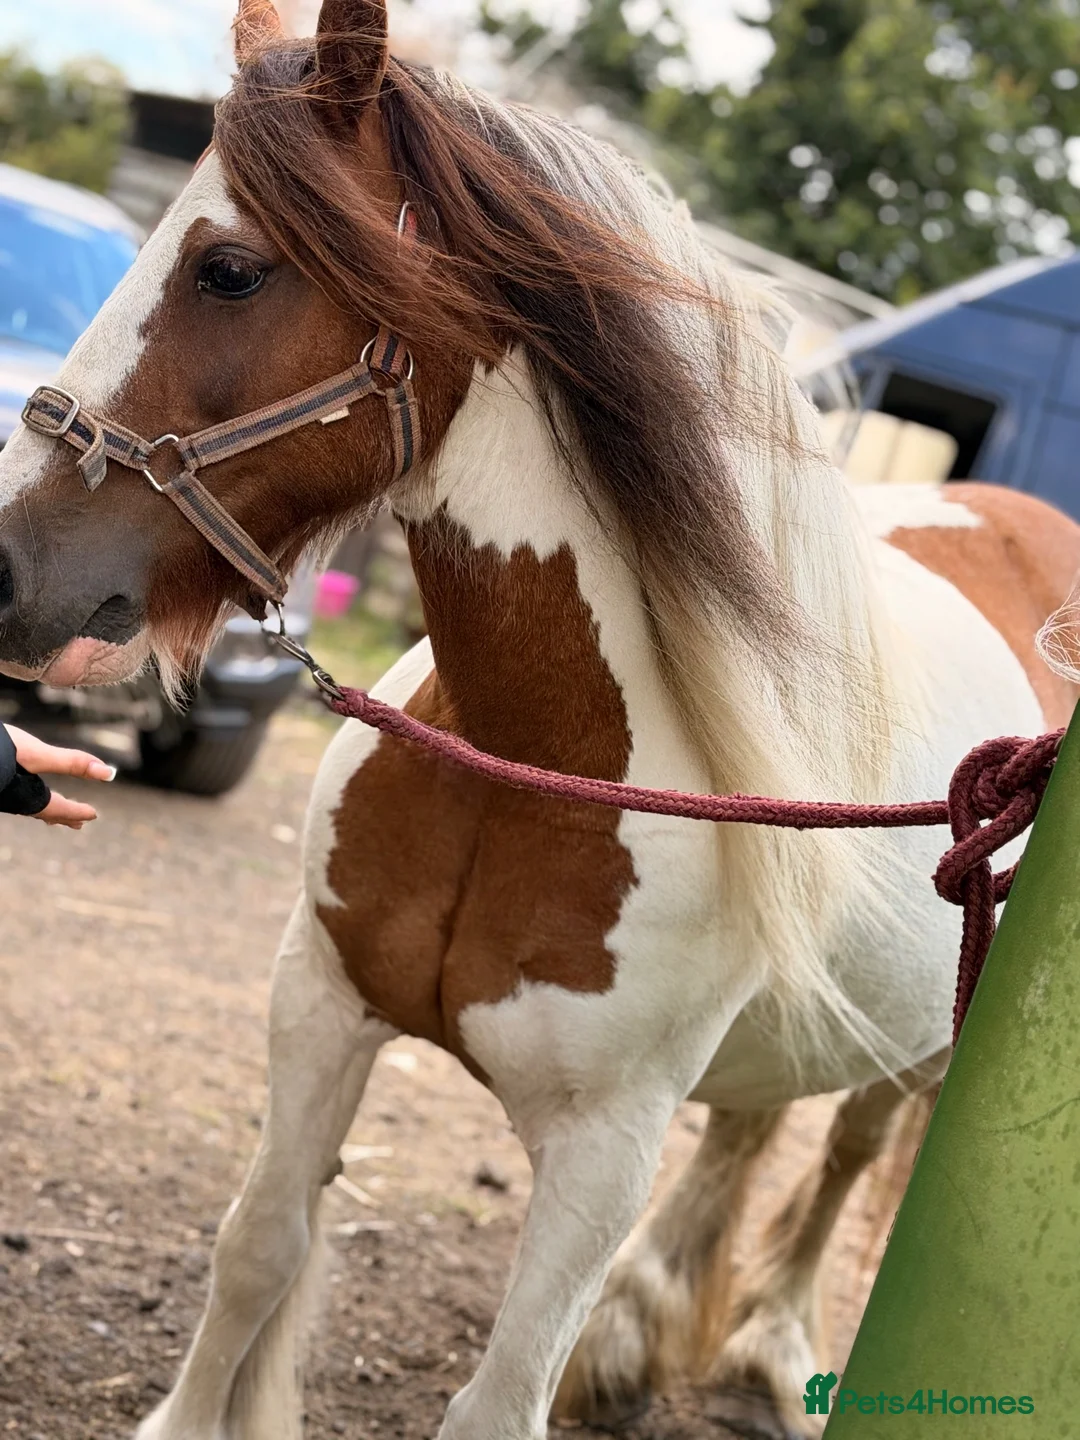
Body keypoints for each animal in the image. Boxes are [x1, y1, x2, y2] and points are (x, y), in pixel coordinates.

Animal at [1, 2, 1077, 1436]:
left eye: (229, 270)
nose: (2, 565)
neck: (530, 763)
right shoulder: (318, 1003)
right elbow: (257, 1251)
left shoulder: (602, 1151)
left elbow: (500, 1396)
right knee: (753, 1129)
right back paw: (635, 1345)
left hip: (923, 1046)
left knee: (846, 1150)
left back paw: (773, 1345)